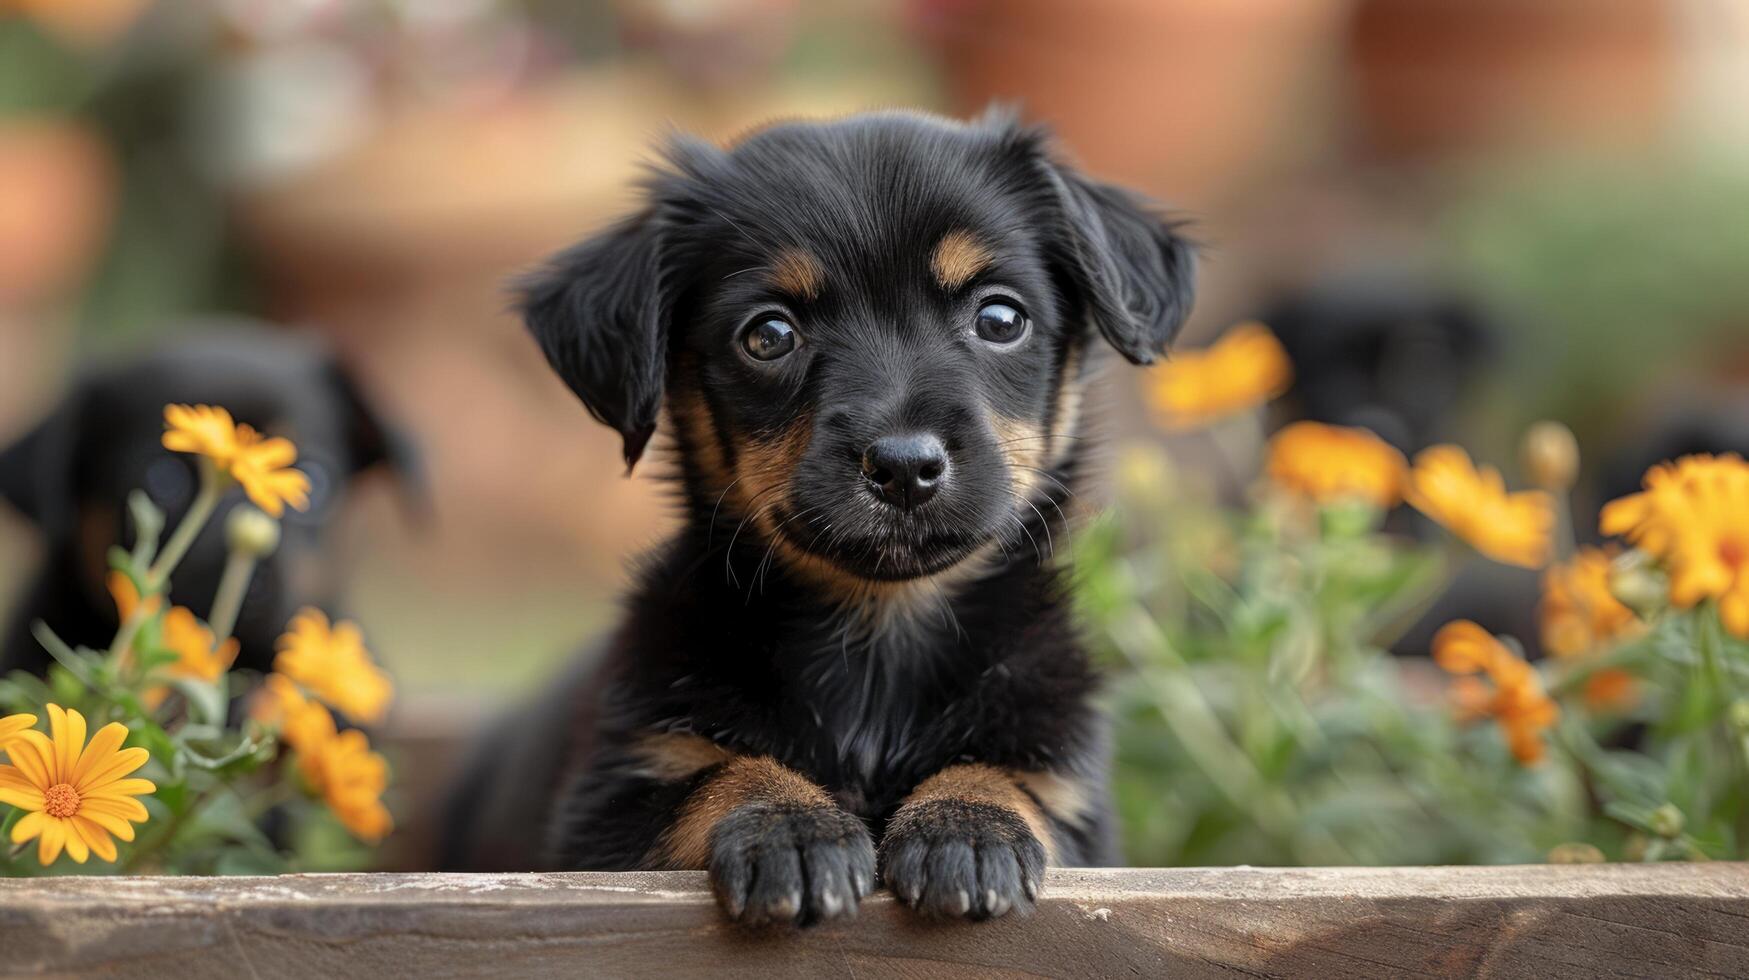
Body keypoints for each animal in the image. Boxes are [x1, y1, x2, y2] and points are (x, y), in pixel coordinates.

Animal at [444, 111, 1196, 924]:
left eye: (1001, 318)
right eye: (768, 335)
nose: (904, 466)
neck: (878, 635)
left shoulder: (1070, 791)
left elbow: (1005, 773)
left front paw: (966, 823)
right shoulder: (614, 807)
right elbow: (717, 773)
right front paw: (790, 826)